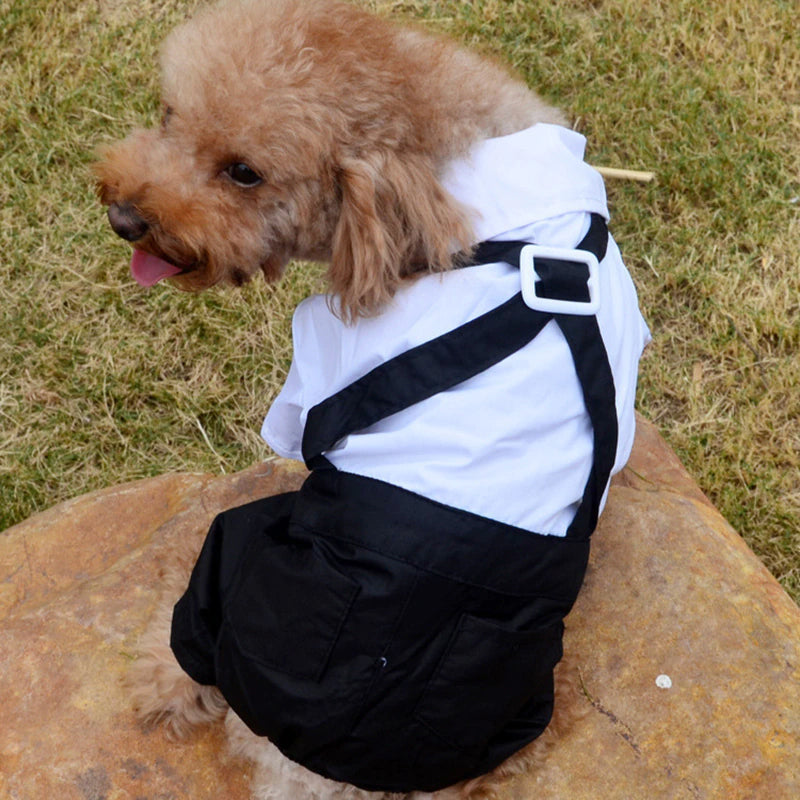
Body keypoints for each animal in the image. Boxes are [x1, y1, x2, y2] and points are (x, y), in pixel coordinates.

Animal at [94, 1, 648, 800]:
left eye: (245, 173)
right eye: (168, 116)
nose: (125, 220)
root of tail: (314, 765)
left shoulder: (316, 376)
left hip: (231, 559)